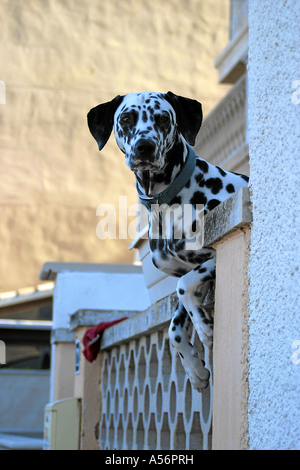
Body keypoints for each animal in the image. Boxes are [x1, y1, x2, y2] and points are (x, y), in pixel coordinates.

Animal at [87, 90, 248, 392]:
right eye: (127, 118)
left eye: (163, 118)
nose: (145, 147)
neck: (167, 203)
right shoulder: (186, 271)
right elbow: (174, 325)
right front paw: (195, 368)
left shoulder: (211, 257)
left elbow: (183, 287)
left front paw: (205, 328)